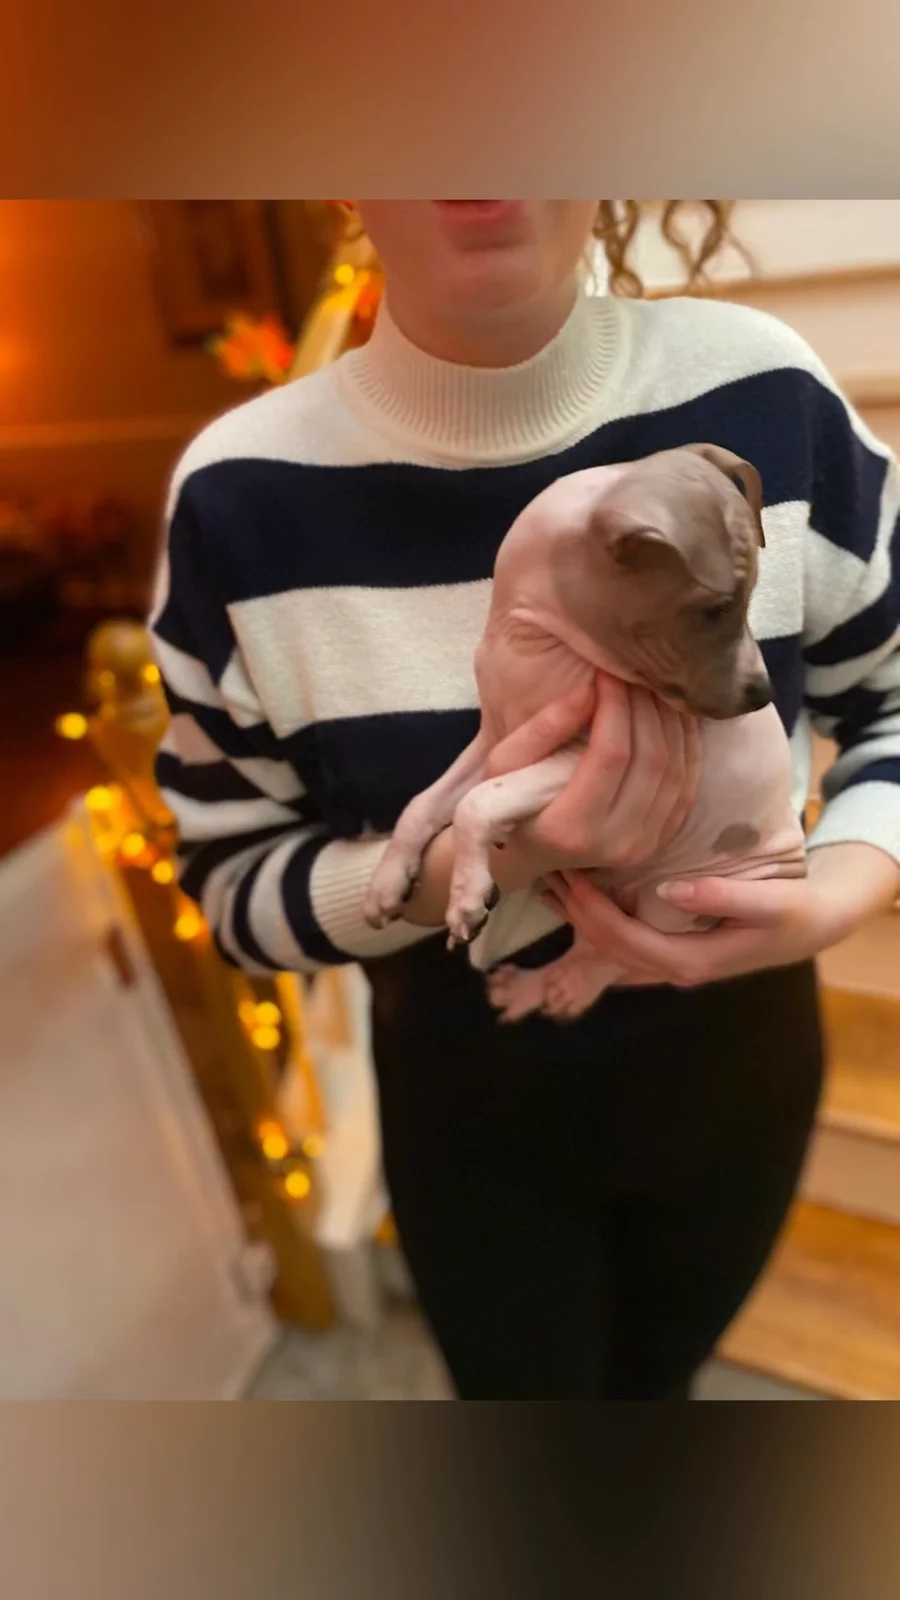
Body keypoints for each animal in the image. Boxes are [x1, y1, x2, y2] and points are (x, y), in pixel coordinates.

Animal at [362, 445, 806, 1021]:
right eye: (713, 611)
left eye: (745, 601)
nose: (762, 695)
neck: (529, 636)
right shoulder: (497, 738)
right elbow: (424, 804)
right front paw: (387, 882)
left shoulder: (579, 754)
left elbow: (477, 803)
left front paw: (466, 896)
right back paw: (531, 989)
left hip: (674, 903)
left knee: (621, 956)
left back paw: (569, 987)